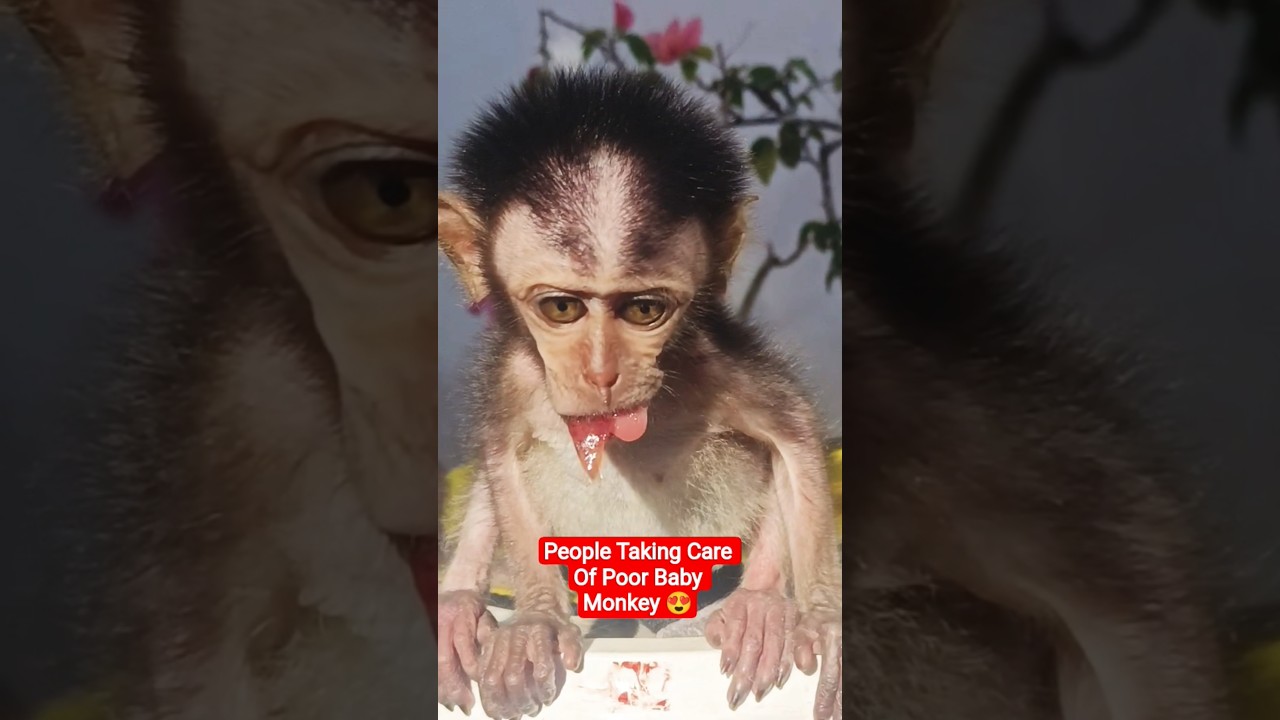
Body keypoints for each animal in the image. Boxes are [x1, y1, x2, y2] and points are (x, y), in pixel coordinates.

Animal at [435, 69, 843, 720]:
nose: (603, 373)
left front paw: (821, 617)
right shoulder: (513, 377)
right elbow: (499, 454)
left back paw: (757, 605)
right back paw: (459, 603)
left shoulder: (708, 361)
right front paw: (535, 624)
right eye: (562, 308)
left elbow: (792, 433)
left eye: (645, 310)